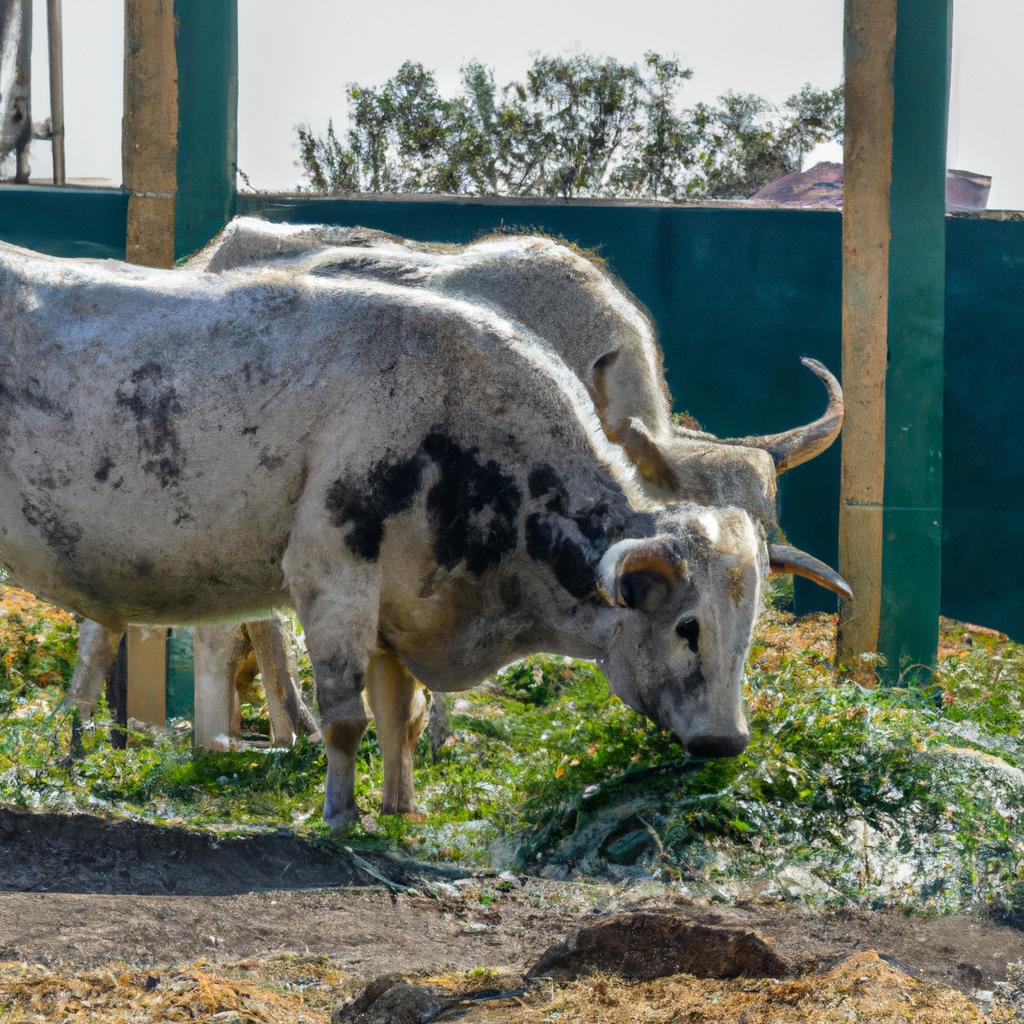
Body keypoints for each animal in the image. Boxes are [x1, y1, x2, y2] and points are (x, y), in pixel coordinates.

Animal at [0, 243, 847, 827]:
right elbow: (347, 715)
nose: (727, 742)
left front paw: (402, 807)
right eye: (686, 626)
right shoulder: (331, 575)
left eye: (748, 626)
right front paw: (340, 814)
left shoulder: (398, 606)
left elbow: (396, 714)